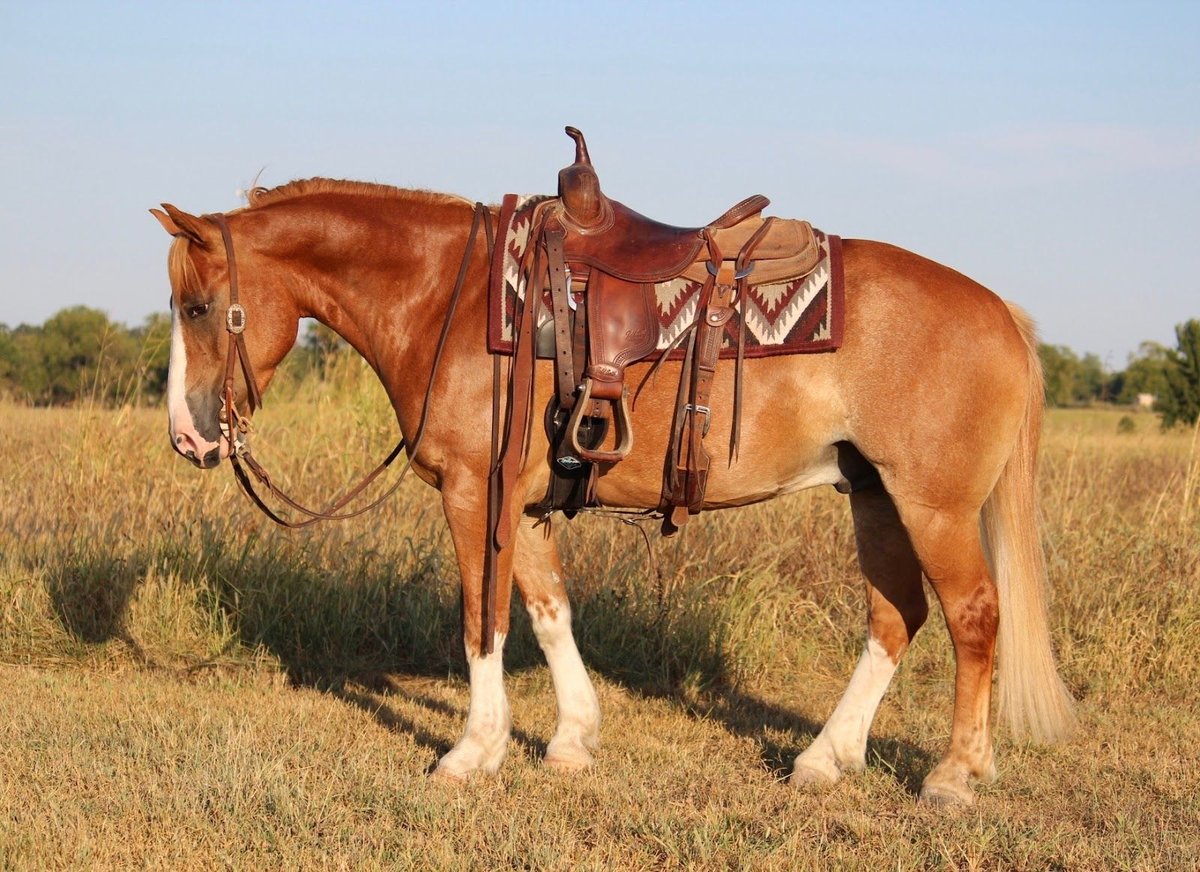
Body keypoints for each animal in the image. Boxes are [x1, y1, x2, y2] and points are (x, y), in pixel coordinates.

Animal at [151, 175, 1075, 807]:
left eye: (197, 307)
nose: (188, 438)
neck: (450, 296)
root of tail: (999, 311)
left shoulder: (473, 495)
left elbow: (480, 620)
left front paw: (472, 752)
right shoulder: (522, 506)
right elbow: (547, 612)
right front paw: (571, 738)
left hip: (934, 507)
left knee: (973, 617)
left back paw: (954, 774)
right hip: (875, 496)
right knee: (896, 619)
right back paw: (825, 758)